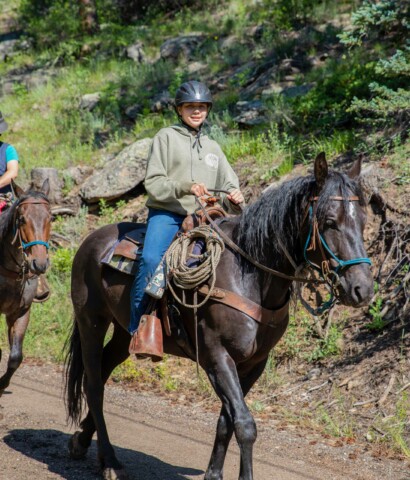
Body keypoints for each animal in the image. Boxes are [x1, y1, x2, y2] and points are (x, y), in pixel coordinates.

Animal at [65, 154, 374, 480]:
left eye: (363, 221)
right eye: (329, 222)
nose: (362, 289)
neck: (248, 275)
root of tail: (92, 239)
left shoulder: (253, 363)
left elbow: (228, 420)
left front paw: (213, 473)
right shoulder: (217, 356)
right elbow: (245, 424)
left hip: (124, 334)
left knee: (102, 374)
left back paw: (82, 441)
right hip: (91, 322)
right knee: (94, 385)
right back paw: (110, 462)